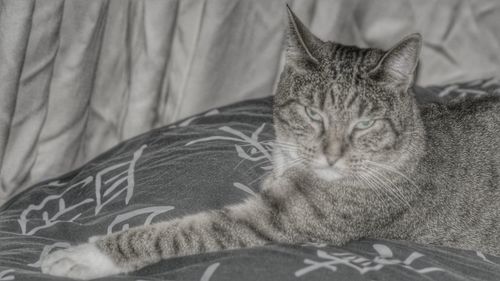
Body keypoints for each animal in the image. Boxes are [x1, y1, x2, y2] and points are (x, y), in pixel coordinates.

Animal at [41, 6, 498, 278]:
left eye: (365, 124)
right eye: (313, 113)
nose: (332, 156)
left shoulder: (281, 218)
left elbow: (183, 230)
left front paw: (86, 256)